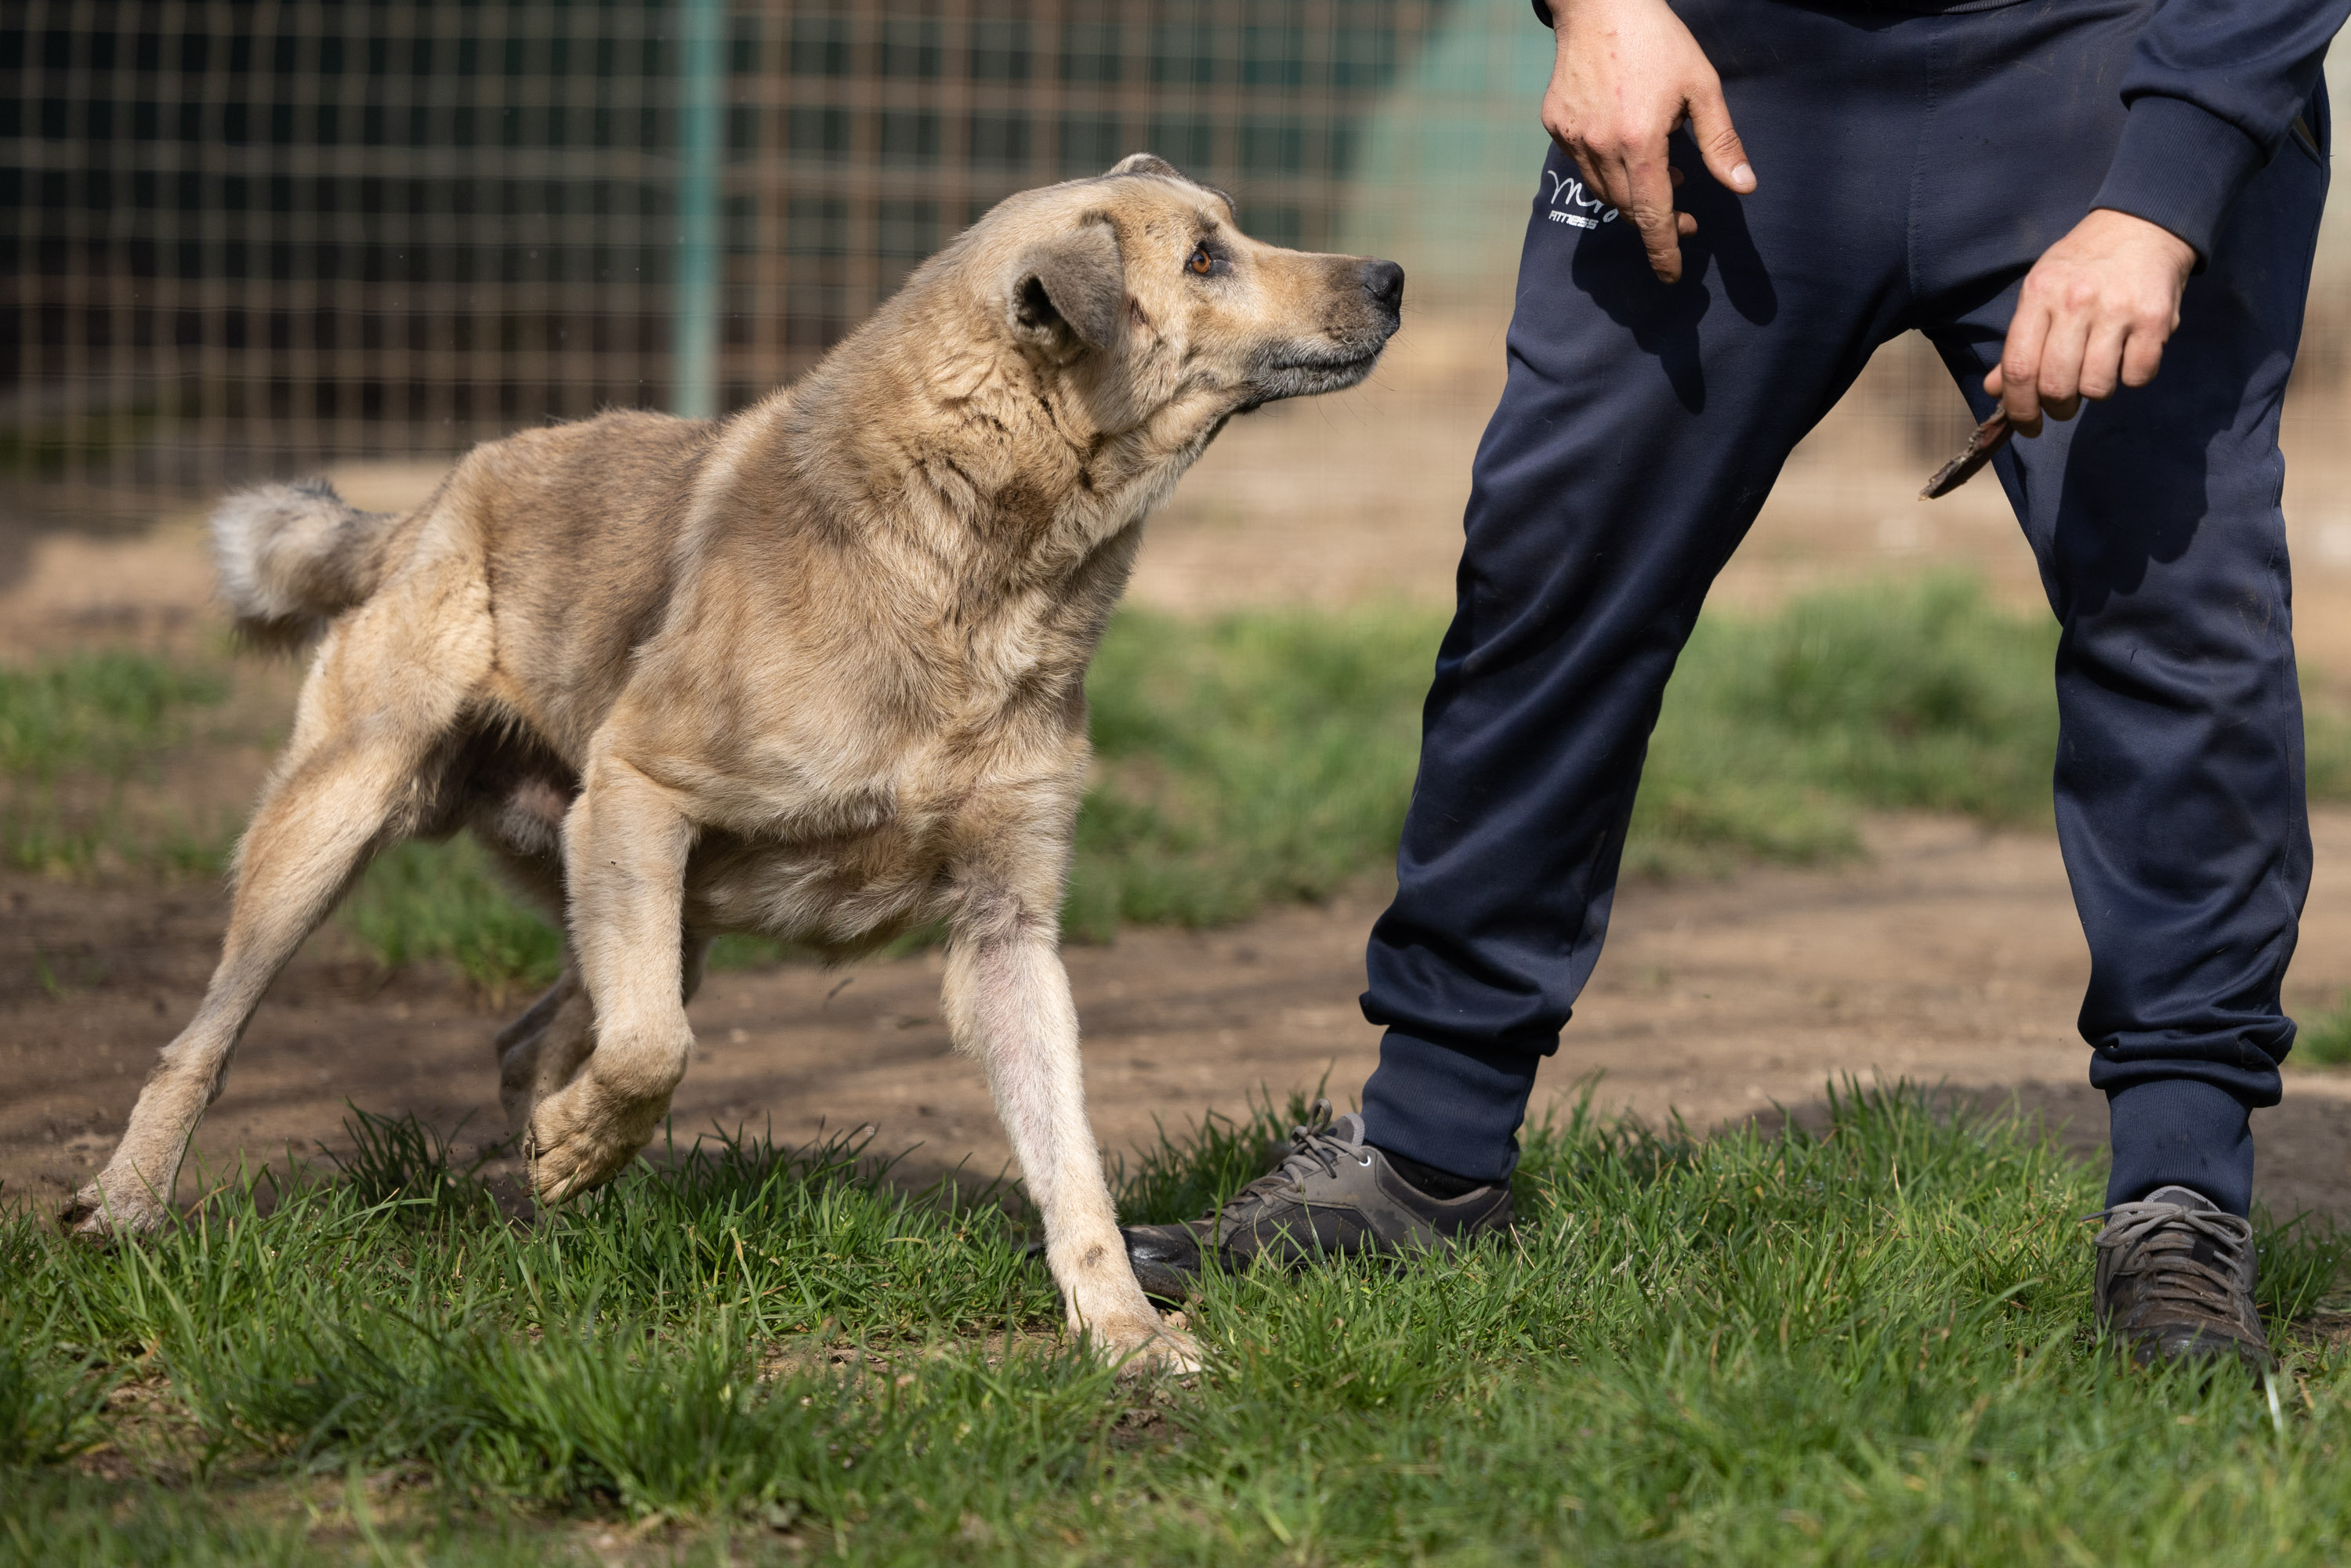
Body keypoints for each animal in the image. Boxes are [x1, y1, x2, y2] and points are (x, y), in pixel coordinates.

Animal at [63, 154, 1403, 1372]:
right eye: (1206, 257)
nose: (1392, 277)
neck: (971, 566)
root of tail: (436, 497)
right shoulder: (641, 795)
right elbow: (653, 1050)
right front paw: (582, 1141)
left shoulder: (1007, 930)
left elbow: (1070, 1161)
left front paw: (1125, 1333)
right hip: (351, 826)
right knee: (209, 1039)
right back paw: (129, 1203)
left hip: (653, 903)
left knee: (531, 1041)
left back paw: (556, 1190)